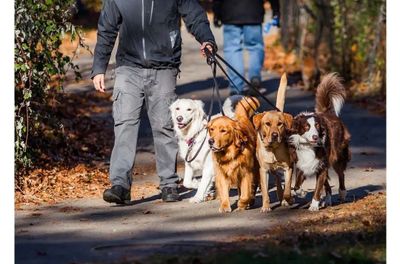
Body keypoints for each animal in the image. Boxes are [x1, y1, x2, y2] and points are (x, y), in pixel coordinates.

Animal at [253, 73, 294, 211]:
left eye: (280, 124)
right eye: (267, 124)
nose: (275, 135)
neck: (273, 149)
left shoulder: (288, 167)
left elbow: (288, 188)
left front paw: (288, 199)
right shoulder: (263, 171)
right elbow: (265, 191)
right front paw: (266, 206)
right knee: (276, 179)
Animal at [290, 73, 352, 211]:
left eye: (318, 126)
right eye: (306, 127)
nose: (315, 137)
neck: (309, 146)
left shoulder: (321, 165)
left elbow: (318, 188)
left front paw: (314, 205)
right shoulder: (303, 163)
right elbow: (296, 186)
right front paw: (301, 192)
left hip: (337, 156)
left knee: (341, 175)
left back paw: (342, 193)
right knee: (327, 184)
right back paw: (327, 201)